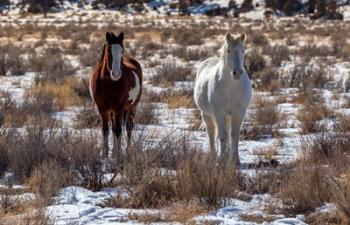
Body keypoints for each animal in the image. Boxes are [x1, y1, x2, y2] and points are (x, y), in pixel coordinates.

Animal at [194, 31, 252, 165]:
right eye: (229, 50)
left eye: (243, 50)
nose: (237, 73)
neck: (231, 87)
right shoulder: (219, 113)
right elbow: (222, 136)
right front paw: (222, 160)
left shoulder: (239, 112)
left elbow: (234, 135)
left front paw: (236, 160)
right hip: (207, 114)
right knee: (211, 133)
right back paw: (214, 155)